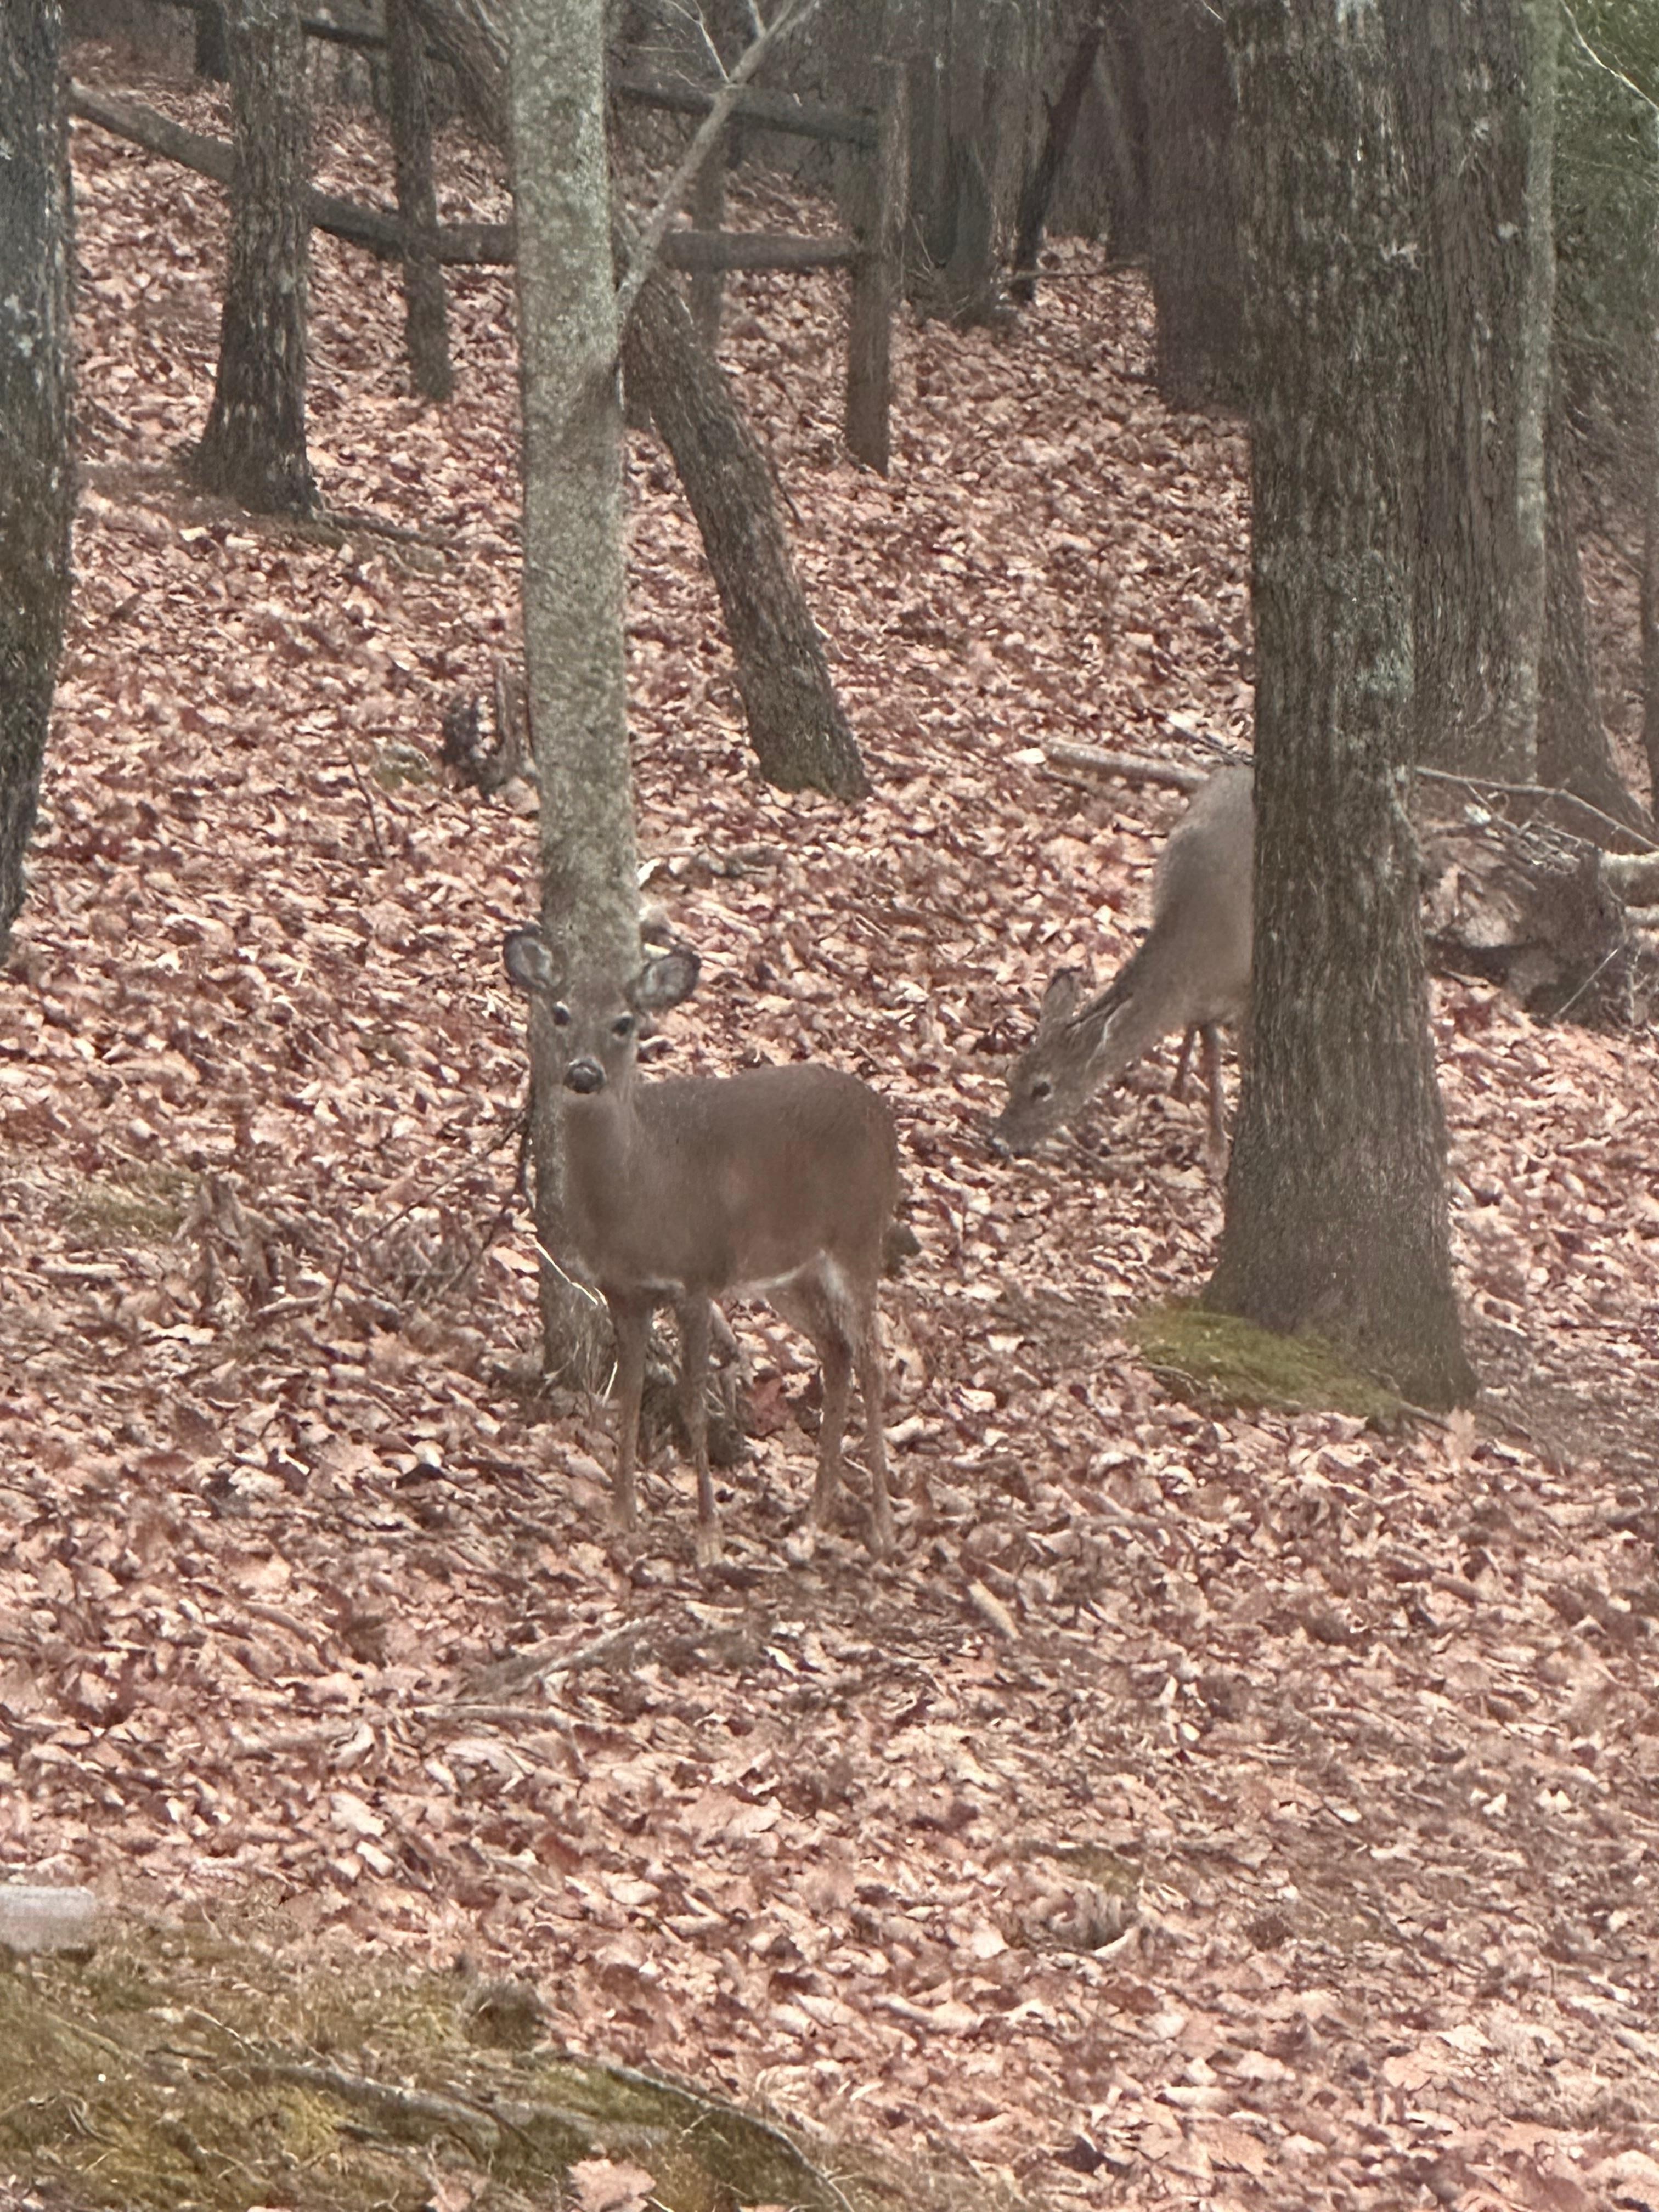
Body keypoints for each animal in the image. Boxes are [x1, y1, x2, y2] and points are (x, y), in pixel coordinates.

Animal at [502, 925, 902, 1565]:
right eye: (560, 1013)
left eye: (624, 1022)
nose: (584, 1074)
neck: (641, 1189)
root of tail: (884, 1116)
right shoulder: (626, 1291)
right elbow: (631, 1394)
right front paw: (622, 1514)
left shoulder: (696, 1276)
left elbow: (693, 1402)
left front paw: (708, 1534)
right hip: (790, 1273)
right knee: (837, 1352)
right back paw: (815, 1516)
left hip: (858, 1239)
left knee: (872, 1358)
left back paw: (883, 1525)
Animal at [992, 765, 1254, 1167]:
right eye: (1012, 1072)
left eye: (1043, 1088)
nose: (999, 1140)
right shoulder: (1204, 1005)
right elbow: (1209, 1054)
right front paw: (1187, 1098)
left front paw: (1218, 1149)